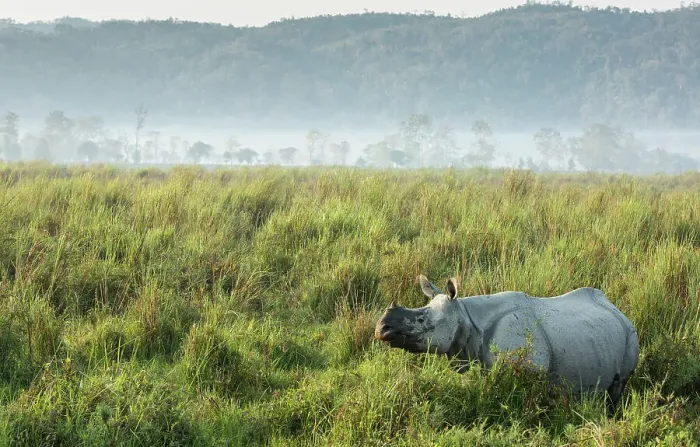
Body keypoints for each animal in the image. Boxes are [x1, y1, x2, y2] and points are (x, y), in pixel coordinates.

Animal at [374, 275, 640, 416]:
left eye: (423, 321)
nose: (381, 328)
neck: (465, 316)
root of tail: (616, 307)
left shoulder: (529, 370)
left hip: (629, 333)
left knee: (618, 386)